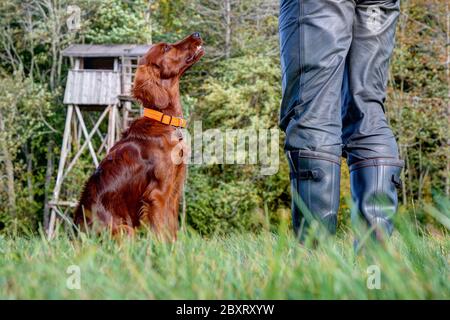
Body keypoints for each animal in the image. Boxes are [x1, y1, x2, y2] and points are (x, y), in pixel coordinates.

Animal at [75, 33, 206, 240]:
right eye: (166, 48)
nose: (197, 34)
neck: (164, 120)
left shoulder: (174, 192)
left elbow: (172, 231)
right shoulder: (158, 194)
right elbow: (161, 232)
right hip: (125, 230)